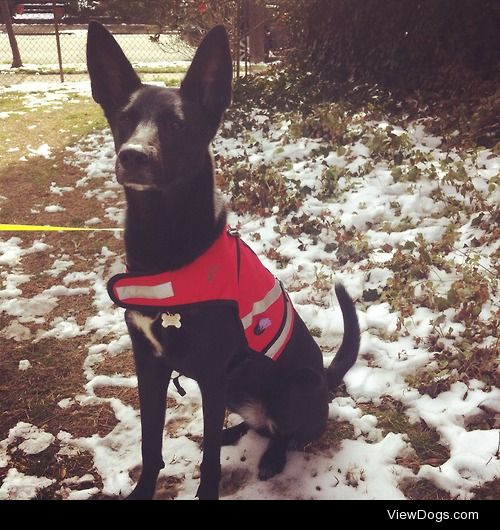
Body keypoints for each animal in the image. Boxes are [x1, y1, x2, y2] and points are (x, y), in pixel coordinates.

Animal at [87, 21, 360, 500]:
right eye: (123, 120)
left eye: (176, 124)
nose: (132, 156)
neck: (165, 241)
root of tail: (327, 379)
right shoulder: (149, 365)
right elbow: (150, 440)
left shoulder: (212, 374)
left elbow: (210, 460)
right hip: (235, 390)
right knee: (253, 426)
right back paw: (238, 432)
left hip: (296, 385)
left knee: (283, 432)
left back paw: (271, 457)